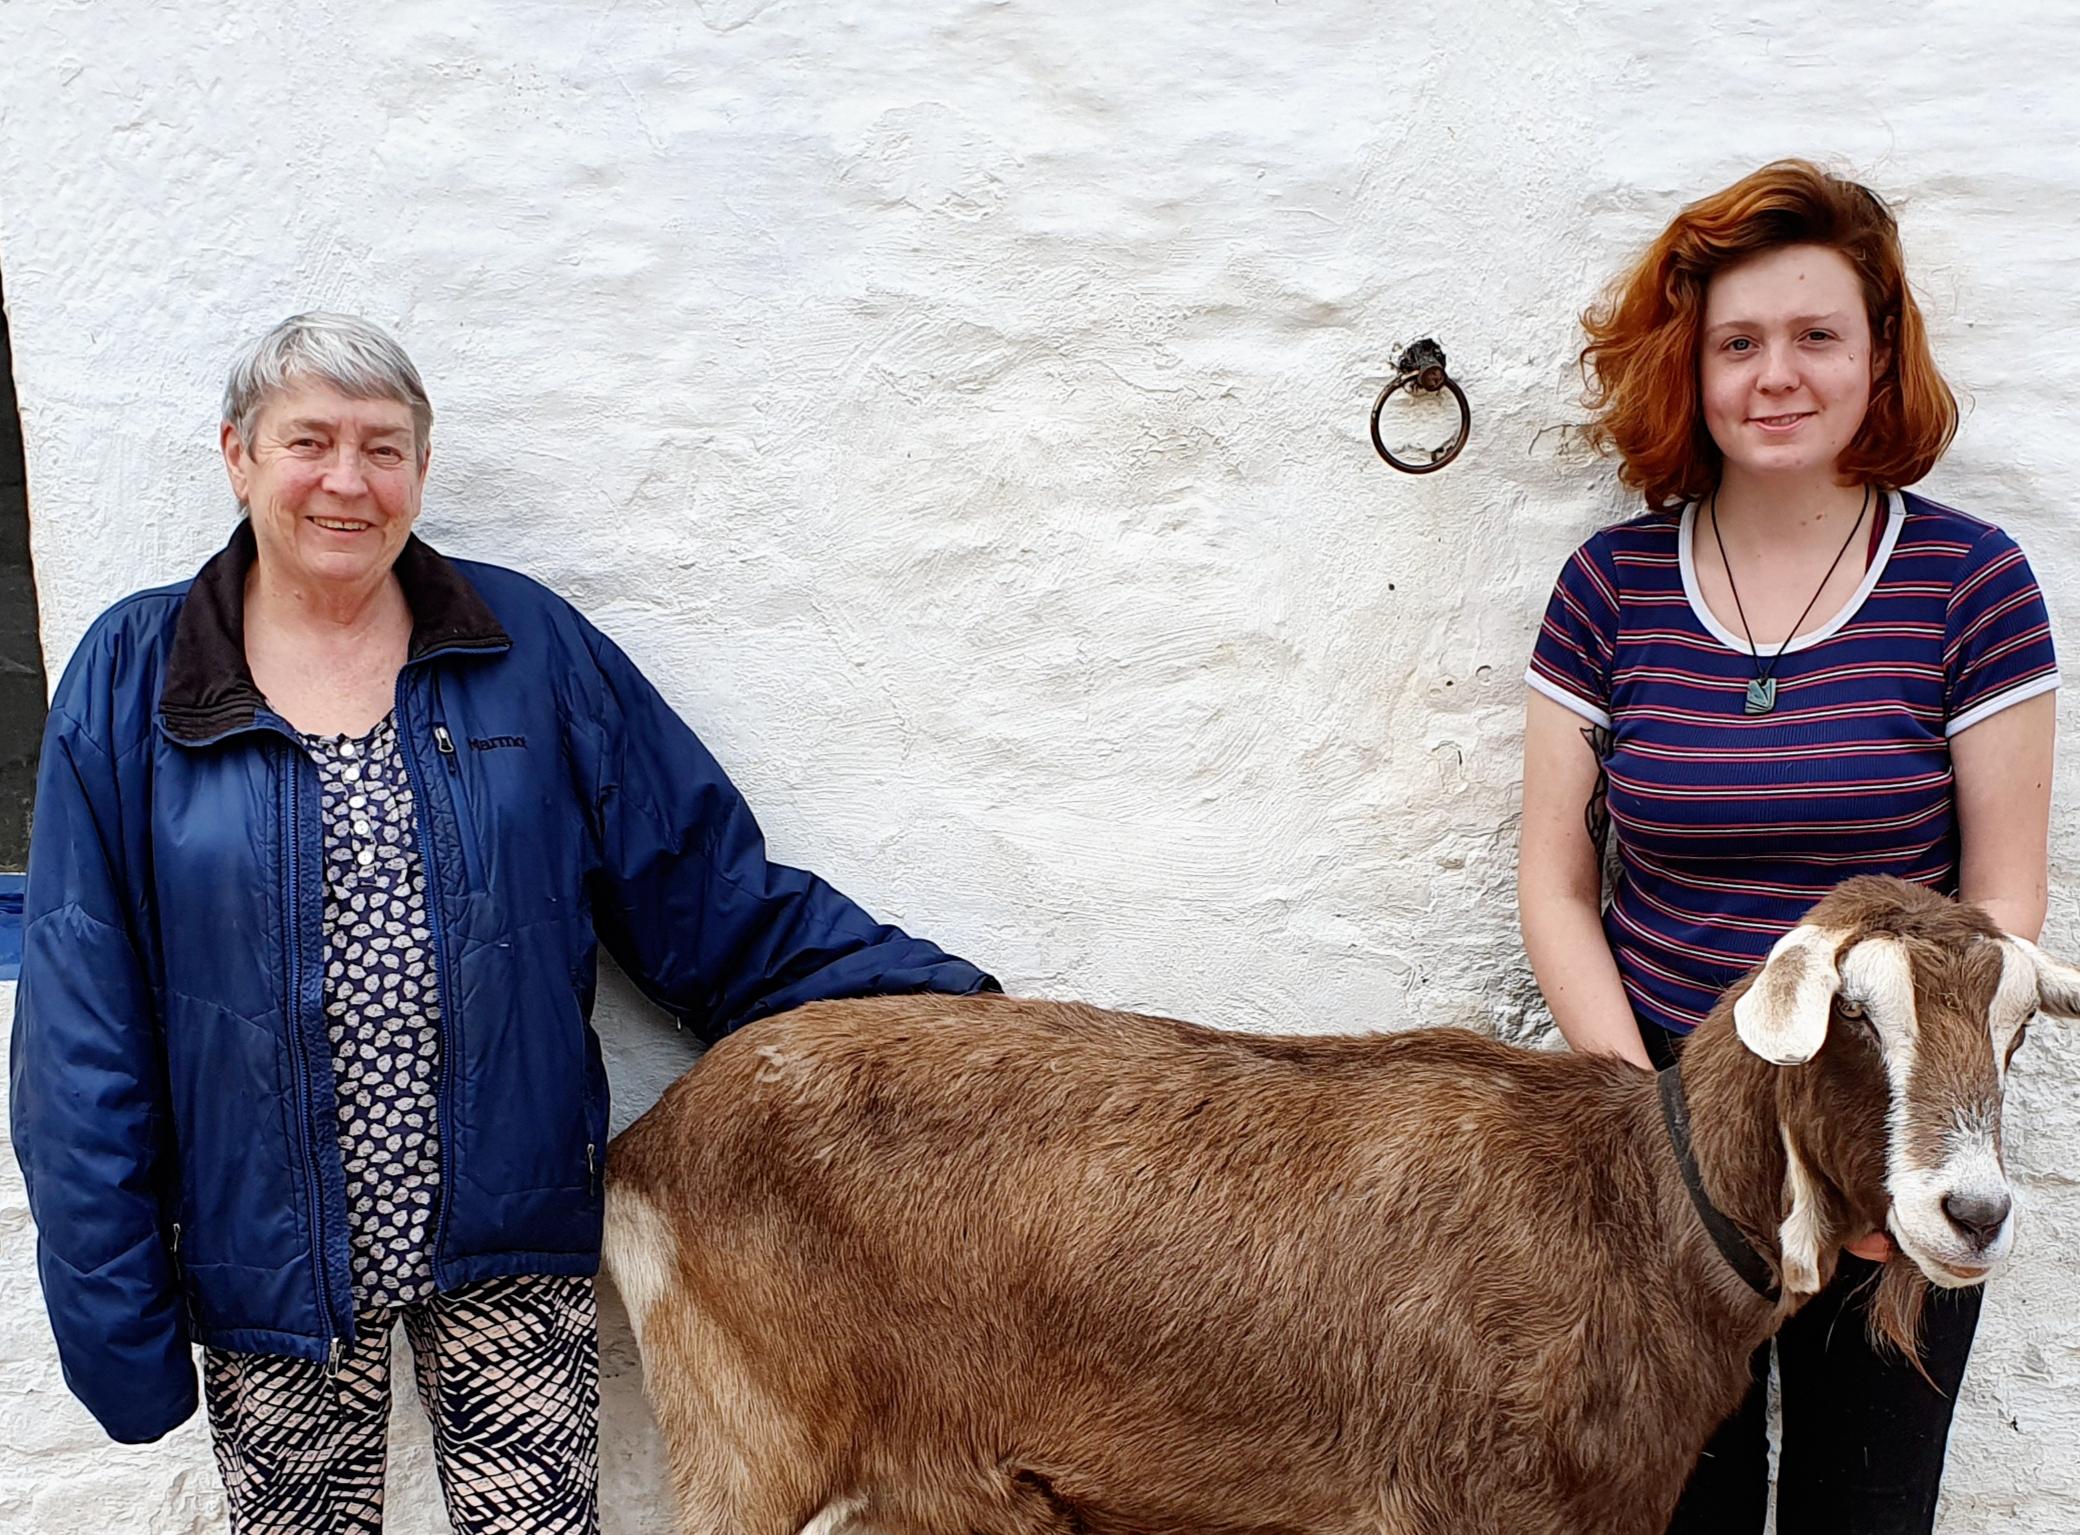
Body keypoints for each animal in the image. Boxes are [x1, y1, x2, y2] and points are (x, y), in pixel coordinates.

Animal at [603, 873, 2080, 1530]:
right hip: (747, 1445)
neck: (1637, 1211)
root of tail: (644, 1144)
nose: (1973, 1210)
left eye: (2013, 1028)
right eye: (1855, 1014)